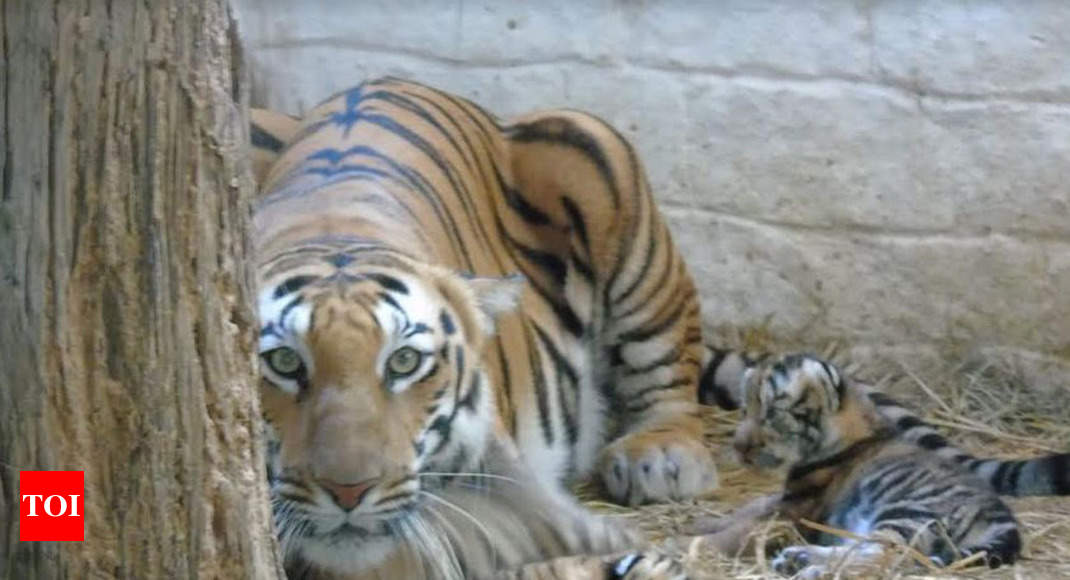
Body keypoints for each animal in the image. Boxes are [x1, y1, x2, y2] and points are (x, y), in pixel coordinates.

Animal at [252, 75, 710, 577]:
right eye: (284, 362)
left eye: (403, 362)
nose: (349, 490)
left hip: (601, 165)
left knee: (670, 375)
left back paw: (659, 457)